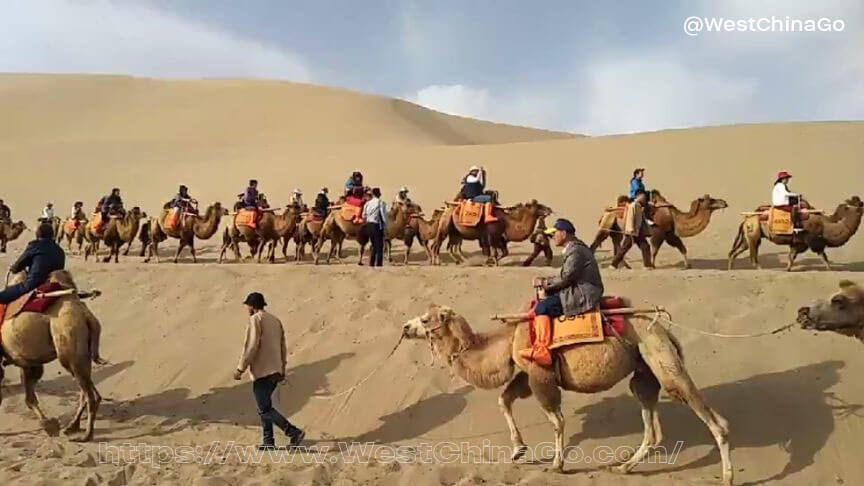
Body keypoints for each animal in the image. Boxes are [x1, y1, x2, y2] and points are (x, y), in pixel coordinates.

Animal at [1, 272, 105, 442]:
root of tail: (87, 317)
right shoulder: (28, 362)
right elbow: (29, 397)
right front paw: (49, 425)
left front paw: (49, 426)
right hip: (79, 353)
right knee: (87, 389)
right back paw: (72, 426)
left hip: (69, 344)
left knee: (89, 394)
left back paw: (86, 435)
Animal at [402, 302, 732, 484]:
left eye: (426, 319)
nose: (405, 327)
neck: (506, 340)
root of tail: (664, 330)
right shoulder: (527, 372)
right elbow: (504, 399)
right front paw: (518, 450)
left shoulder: (540, 374)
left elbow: (557, 420)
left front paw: (557, 465)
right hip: (644, 371)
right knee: (652, 426)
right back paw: (623, 467)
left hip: (661, 358)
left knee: (711, 417)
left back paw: (728, 476)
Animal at [592, 192, 724, 270]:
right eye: (711, 200)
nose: (724, 202)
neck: (674, 216)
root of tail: (605, 211)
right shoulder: (659, 233)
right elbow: (655, 249)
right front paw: (653, 265)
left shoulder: (669, 234)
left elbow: (681, 247)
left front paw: (688, 266)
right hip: (607, 223)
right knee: (598, 241)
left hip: (615, 229)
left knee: (617, 243)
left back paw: (624, 266)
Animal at [728, 197, 864, 274]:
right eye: (855, 205)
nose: (861, 205)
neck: (825, 225)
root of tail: (746, 220)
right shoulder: (811, 241)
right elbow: (823, 256)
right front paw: (831, 270)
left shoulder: (798, 243)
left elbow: (791, 257)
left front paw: (787, 270)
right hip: (754, 234)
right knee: (752, 255)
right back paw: (761, 270)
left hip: (747, 236)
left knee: (735, 252)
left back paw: (730, 269)